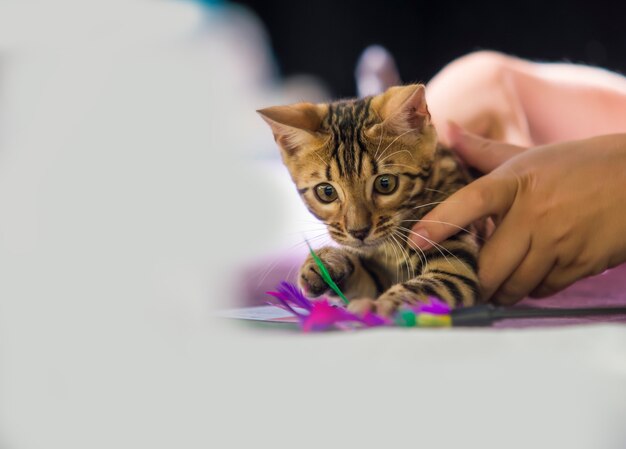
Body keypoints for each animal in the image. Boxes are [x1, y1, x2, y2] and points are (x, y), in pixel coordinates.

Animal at [256, 84, 480, 316]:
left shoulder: (455, 268)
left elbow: (426, 287)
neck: (388, 249)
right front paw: (324, 261)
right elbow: (368, 278)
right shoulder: (378, 276)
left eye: (385, 183)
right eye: (326, 192)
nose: (359, 232)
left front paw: (383, 306)